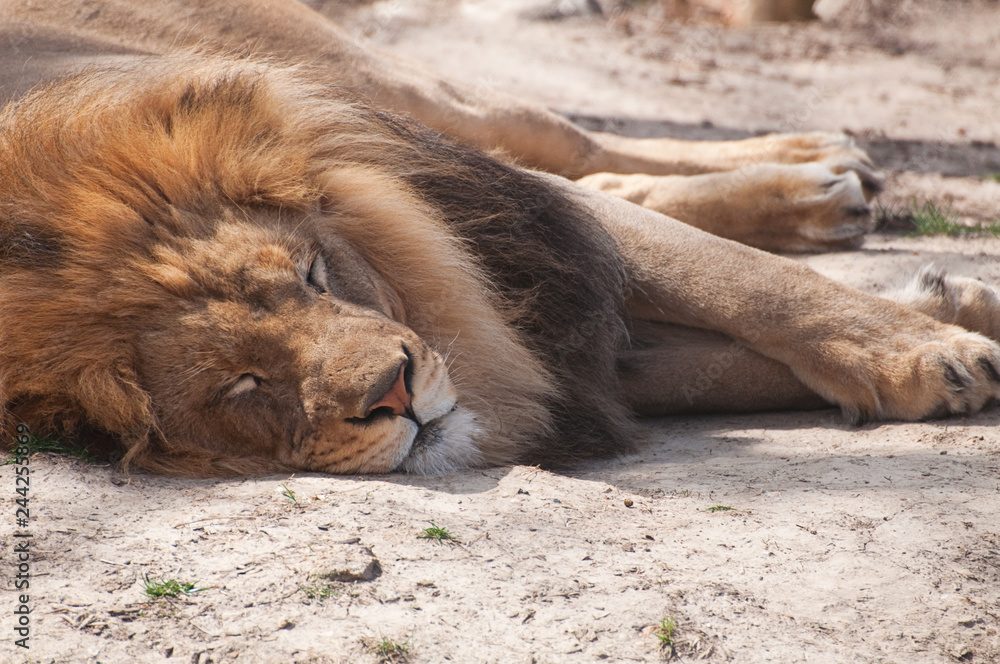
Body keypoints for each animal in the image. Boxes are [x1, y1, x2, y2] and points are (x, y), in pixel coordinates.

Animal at [1, 2, 999, 477]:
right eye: (242, 386)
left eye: (315, 276)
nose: (395, 394)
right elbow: (727, 367)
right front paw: (940, 321)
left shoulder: (504, 219)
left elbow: (745, 283)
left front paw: (928, 351)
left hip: (380, 84)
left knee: (575, 141)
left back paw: (820, 167)